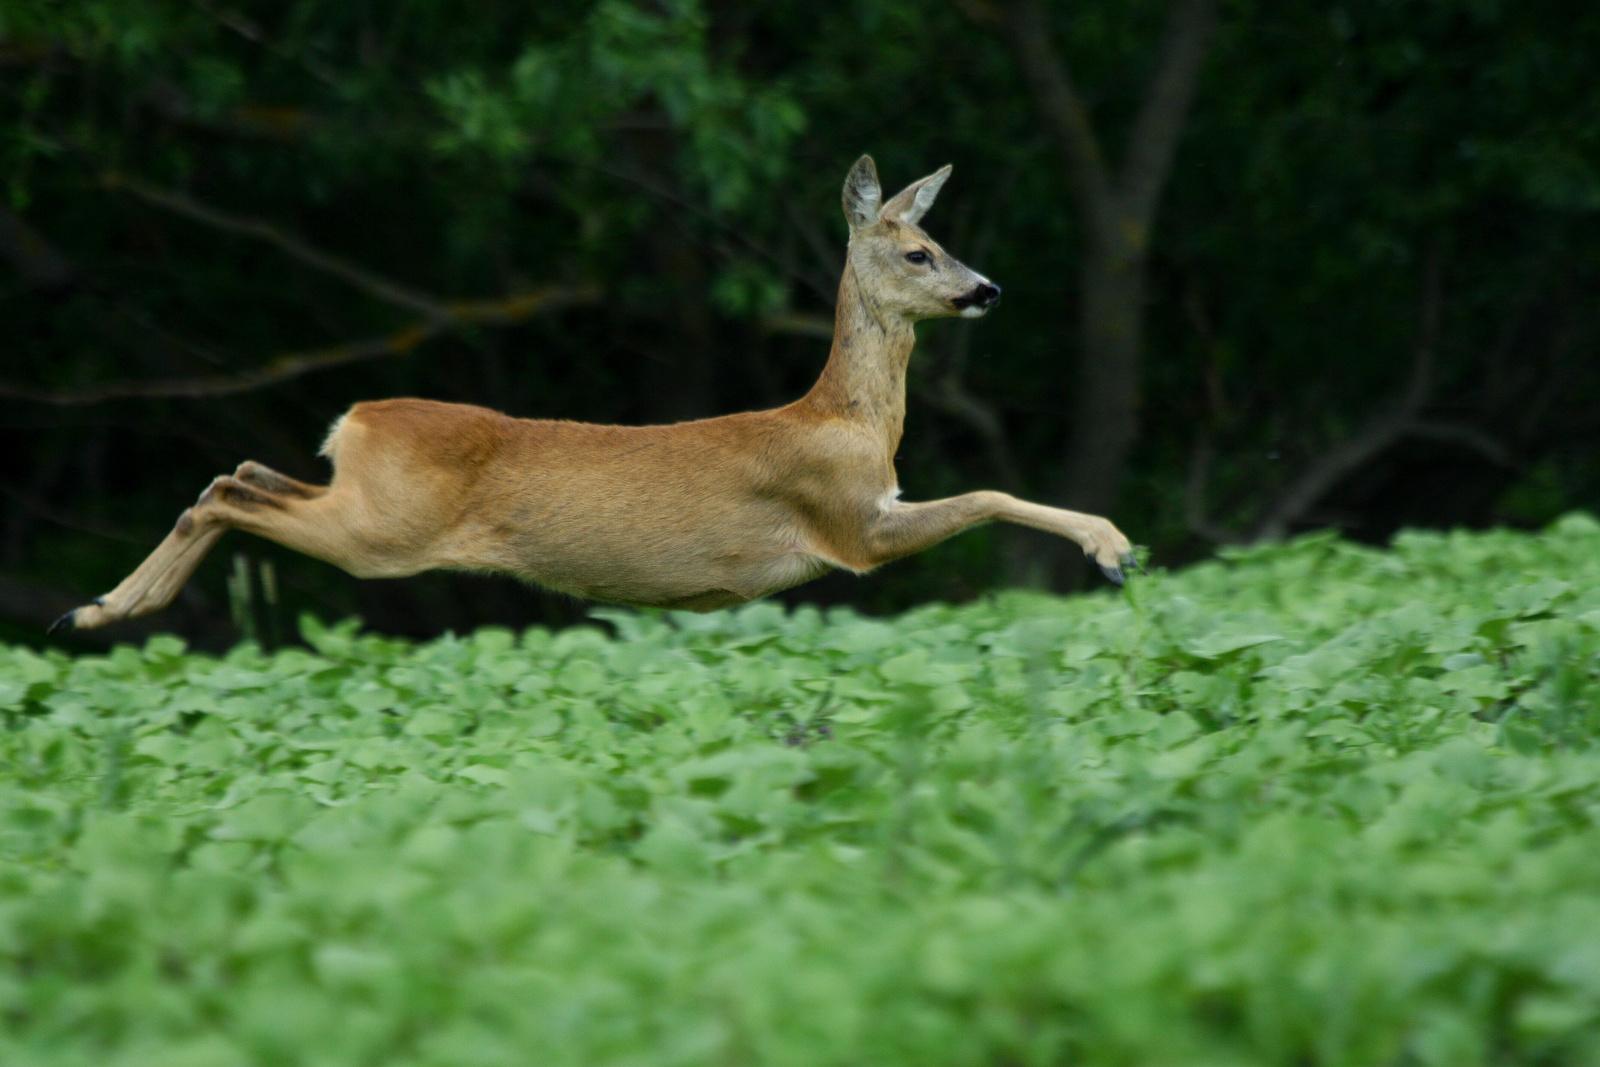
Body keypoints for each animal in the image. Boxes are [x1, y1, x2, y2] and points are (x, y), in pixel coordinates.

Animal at [50, 155, 1139, 639]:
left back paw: (99, 607)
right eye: (918, 252)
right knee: (231, 491)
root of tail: (354, 419)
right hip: (381, 529)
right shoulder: (849, 526)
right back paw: (100, 609)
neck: (846, 420)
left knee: (233, 472)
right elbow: (988, 495)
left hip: (360, 503)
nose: (987, 289)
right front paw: (1114, 548)